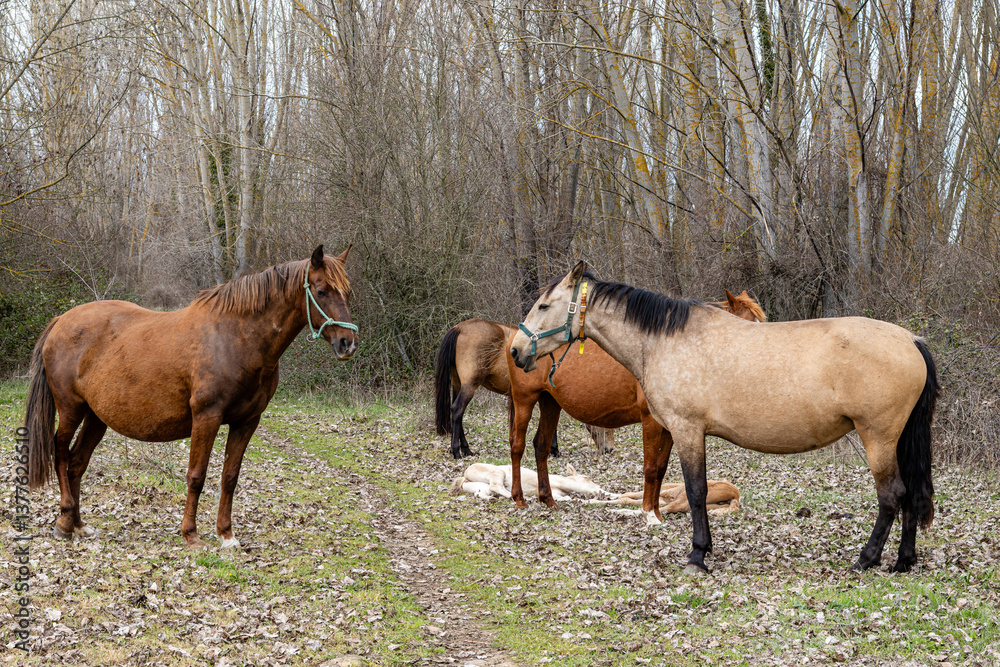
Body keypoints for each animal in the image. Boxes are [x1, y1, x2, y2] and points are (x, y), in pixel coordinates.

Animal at [24, 245, 358, 548]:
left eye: (348, 292)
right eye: (322, 290)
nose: (348, 343)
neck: (235, 338)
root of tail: (62, 320)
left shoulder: (247, 422)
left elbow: (230, 478)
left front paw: (226, 535)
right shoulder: (206, 417)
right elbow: (197, 476)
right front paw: (191, 535)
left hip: (97, 416)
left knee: (77, 463)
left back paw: (78, 525)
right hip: (71, 408)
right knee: (61, 453)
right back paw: (64, 521)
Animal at [433, 317, 612, 459]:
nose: (609, 449)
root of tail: (459, 328)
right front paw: (554, 450)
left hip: (458, 384)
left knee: (457, 414)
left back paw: (466, 449)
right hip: (470, 385)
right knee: (457, 410)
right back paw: (457, 451)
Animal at [505, 290, 765, 525]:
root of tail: (514, 339)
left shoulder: (670, 427)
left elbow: (660, 469)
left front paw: (655, 512)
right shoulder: (651, 421)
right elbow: (650, 468)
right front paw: (648, 513)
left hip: (550, 403)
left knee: (541, 446)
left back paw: (548, 500)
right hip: (524, 399)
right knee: (517, 445)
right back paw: (519, 499)